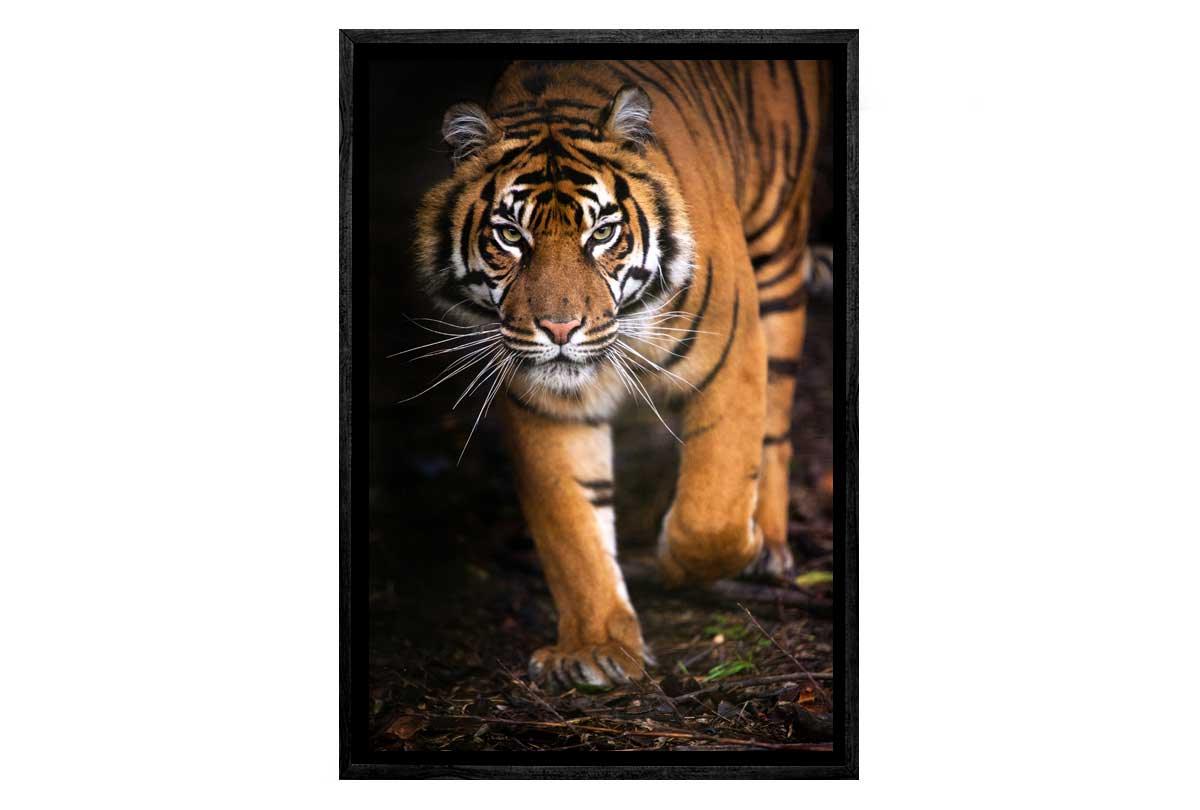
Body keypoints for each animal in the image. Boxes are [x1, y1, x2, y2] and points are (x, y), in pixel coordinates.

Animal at [415, 60, 827, 691]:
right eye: (510, 235)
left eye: (602, 233)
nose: (560, 329)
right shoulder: (546, 403)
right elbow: (573, 529)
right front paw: (596, 648)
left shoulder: (732, 354)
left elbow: (711, 513)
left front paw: (688, 562)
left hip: (777, 253)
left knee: (776, 426)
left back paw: (771, 546)